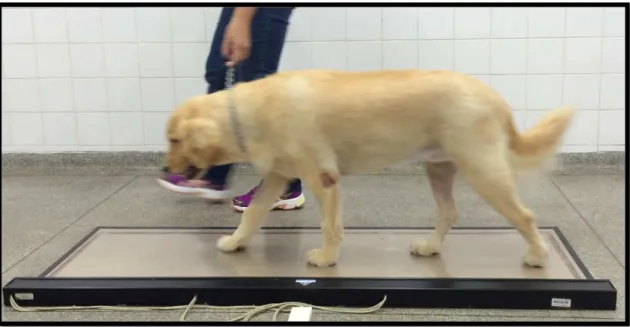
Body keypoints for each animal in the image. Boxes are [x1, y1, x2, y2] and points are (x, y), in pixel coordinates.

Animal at [164, 70, 576, 270]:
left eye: (174, 139)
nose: (165, 167)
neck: (247, 113)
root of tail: (493, 96)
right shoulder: (277, 177)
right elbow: (252, 215)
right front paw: (235, 242)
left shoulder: (323, 179)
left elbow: (330, 226)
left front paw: (326, 259)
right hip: (439, 168)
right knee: (449, 212)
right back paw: (430, 247)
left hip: (483, 170)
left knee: (525, 216)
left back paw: (538, 256)